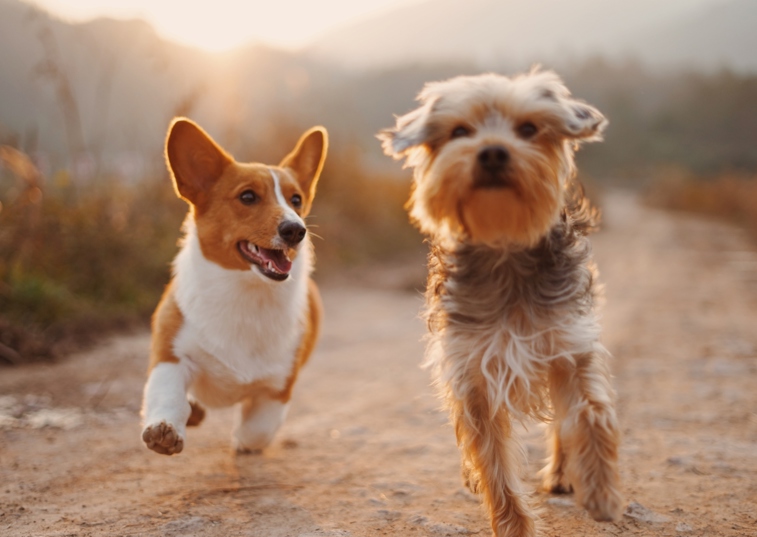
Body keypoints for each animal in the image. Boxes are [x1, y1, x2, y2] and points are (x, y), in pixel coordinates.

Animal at [378, 69, 620, 532]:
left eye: (528, 129)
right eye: (459, 131)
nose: (492, 152)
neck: (505, 245)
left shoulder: (569, 344)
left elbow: (591, 412)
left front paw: (600, 489)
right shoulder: (472, 372)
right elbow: (493, 462)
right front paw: (515, 526)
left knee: (562, 422)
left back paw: (563, 473)